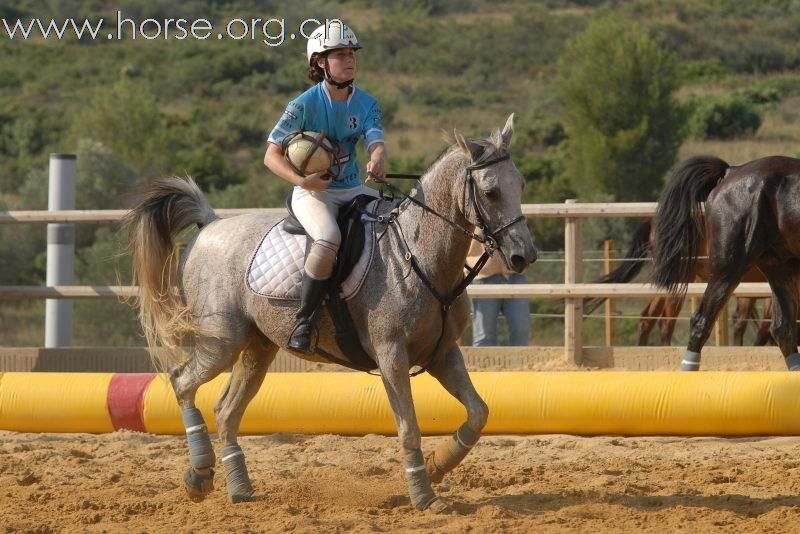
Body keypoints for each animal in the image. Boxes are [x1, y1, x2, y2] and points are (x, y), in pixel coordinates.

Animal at [126, 115, 536, 512]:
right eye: (490, 192)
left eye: (520, 185)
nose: (524, 256)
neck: (416, 255)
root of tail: (210, 223)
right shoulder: (391, 355)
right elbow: (409, 428)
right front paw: (424, 496)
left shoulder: (443, 353)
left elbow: (479, 413)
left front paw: (438, 465)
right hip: (222, 343)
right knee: (183, 382)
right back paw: (199, 475)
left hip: (258, 349)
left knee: (226, 411)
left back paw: (239, 487)